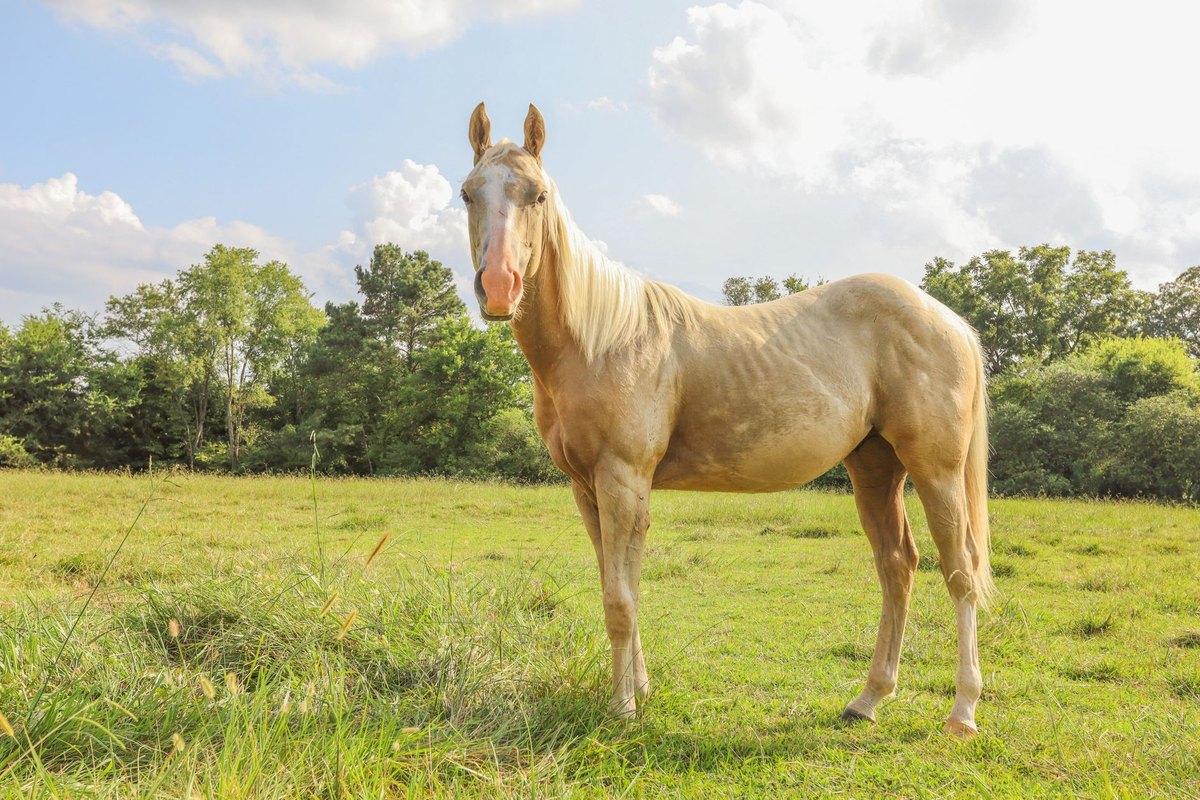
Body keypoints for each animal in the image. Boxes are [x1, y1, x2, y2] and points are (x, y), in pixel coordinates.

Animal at [459, 102, 995, 736]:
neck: (600, 341)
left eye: (538, 195)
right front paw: (640, 691)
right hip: (875, 470)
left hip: (937, 470)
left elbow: (620, 601)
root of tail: (948, 318)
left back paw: (963, 711)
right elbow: (621, 587)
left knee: (960, 572)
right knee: (898, 568)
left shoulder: (622, 480)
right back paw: (868, 699)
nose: (499, 288)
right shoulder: (587, 488)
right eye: (468, 193)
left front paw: (622, 710)